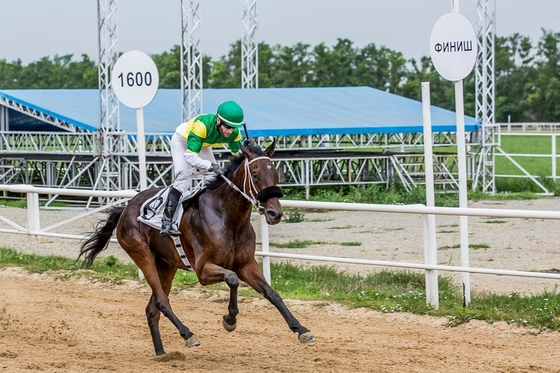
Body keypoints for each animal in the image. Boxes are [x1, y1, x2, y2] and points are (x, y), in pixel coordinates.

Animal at [76, 140, 316, 354]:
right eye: (255, 174)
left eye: (275, 173)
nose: (275, 214)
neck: (228, 217)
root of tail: (126, 208)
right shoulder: (202, 270)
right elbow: (232, 279)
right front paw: (230, 319)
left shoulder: (246, 264)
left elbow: (271, 293)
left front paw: (301, 329)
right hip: (143, 256)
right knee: (162, 302)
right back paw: (188, 335)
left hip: (166, 265)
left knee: (152, 309)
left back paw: (162, 354)